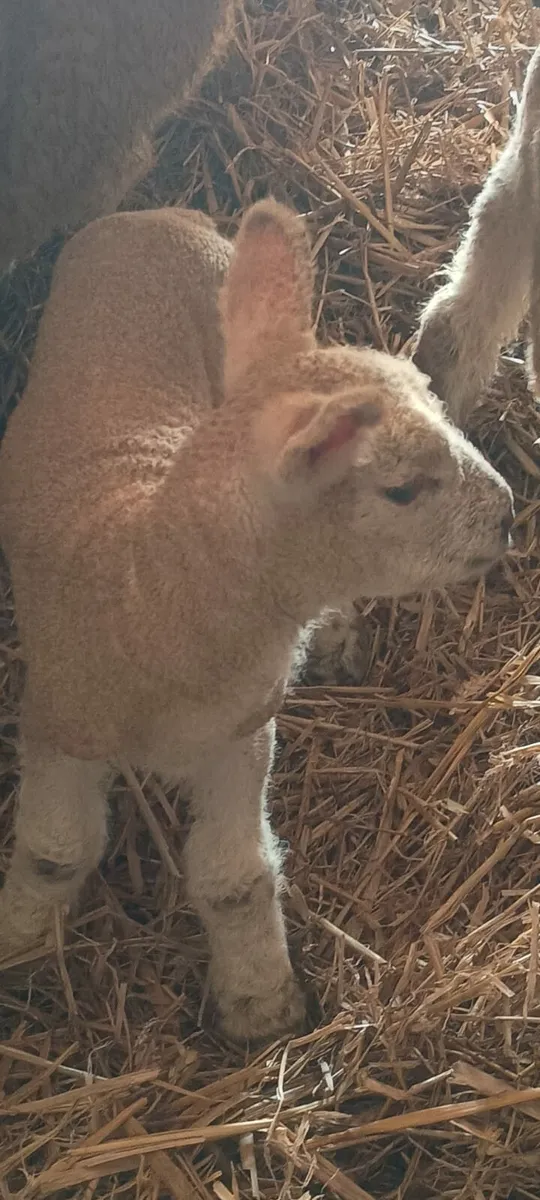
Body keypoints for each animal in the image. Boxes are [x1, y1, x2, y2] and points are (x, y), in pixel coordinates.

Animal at [0, 199, 513, 1042]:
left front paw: (259, 1001)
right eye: (403, 489)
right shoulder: (56, 716)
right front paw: (20, 937)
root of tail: (159, 214)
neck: (150, 594)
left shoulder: (241, 732)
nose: (507, 518)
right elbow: (55, 850)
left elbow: (234, 878)